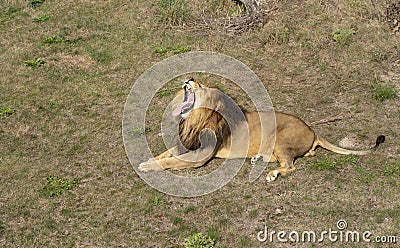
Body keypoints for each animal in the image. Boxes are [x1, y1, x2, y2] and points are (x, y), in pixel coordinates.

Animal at [138, 78, 384, 181]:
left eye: (200, 85)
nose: (188, 79)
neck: (193, 119)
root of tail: (314, 130)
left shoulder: (201, 155)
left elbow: (170, 161)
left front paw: (147, 167)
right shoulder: (187, 144)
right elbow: (166, 154)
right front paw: (148, 160)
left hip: (281, 138)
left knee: (291, 165)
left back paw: (273, 174)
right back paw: (259, 159)